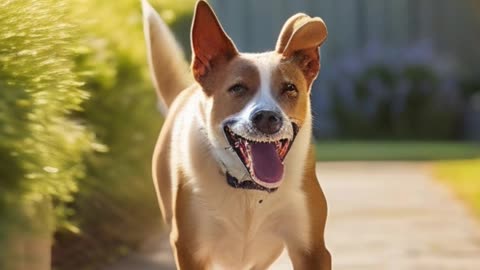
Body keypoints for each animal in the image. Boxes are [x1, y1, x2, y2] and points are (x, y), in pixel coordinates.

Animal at [142, 1, 330, 268]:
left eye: (289, 88)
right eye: (238, 88)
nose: (267, 118)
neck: (249, 188)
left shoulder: (312, 249)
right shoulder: (190, 249)